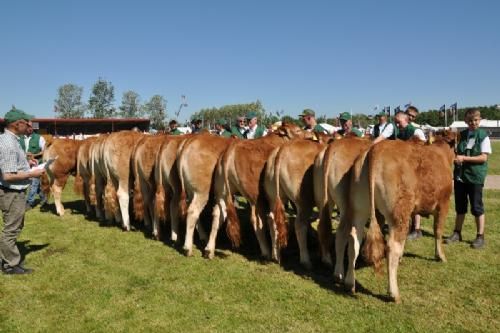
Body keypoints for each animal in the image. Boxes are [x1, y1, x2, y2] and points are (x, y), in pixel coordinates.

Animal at [348, 131, 458, 302]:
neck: (441, 153)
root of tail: (377, 148)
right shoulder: (443, 203)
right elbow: (438, 231)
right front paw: (440, 256)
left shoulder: (411, 212)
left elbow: (406, 235)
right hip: (398, 211)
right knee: (392, 246)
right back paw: (394, 294)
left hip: (361, 209)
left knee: (354, 239)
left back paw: (349, 284)